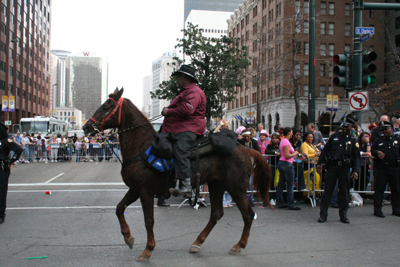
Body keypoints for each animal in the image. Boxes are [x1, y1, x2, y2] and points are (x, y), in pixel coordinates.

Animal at [83, 88, 274, 262]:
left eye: (107, 106)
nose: (86, 127)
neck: (142, 147)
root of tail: (246, 149)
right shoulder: (135, 189)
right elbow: (119, 208)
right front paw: (128, 237)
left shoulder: (145, 191)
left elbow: (148, 220)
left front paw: (147, 249)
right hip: (216, 185)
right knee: (216, 214)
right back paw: (197, 242)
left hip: (237, 188)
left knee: (247, 214)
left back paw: (238, 245)